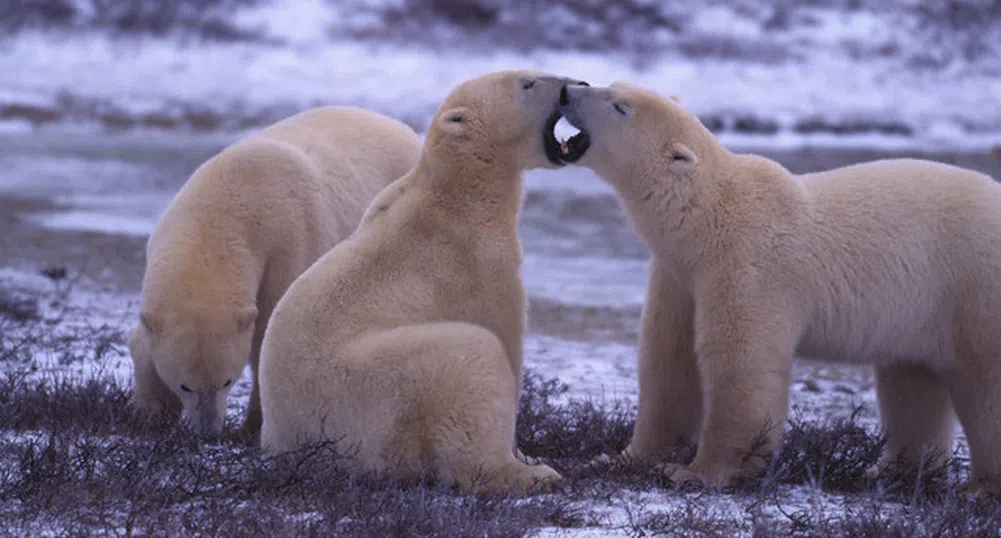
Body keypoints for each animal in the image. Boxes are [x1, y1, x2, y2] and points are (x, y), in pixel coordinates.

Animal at [128, 104, 418, 436]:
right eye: (185, 385)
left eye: (227, 381)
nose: (209, 431)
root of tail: (400, 126)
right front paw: (151, 413)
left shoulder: (288, 245)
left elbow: (266, 335)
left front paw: (252, 426)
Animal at [258, 69, 588, 492]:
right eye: (528, 83)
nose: (573, 86)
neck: (460, 196)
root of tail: (294, 446)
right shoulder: (479, 262)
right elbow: (503, 335)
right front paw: (525, 455)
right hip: (375, 390)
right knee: (471, 356)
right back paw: (534, 475)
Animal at [560, 81, 1001, 492]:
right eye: (610, 86)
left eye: (620, 106)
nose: (568, 89)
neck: (707, 217)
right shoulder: (679, 277)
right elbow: (669, 360)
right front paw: (625, 458)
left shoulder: (749, 265)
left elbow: (740, 363)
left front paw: (699, 472)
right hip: (920, 307)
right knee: (911, 381)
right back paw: (891, 472)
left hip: (973, 287)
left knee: (983, 385)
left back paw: (977, 489)